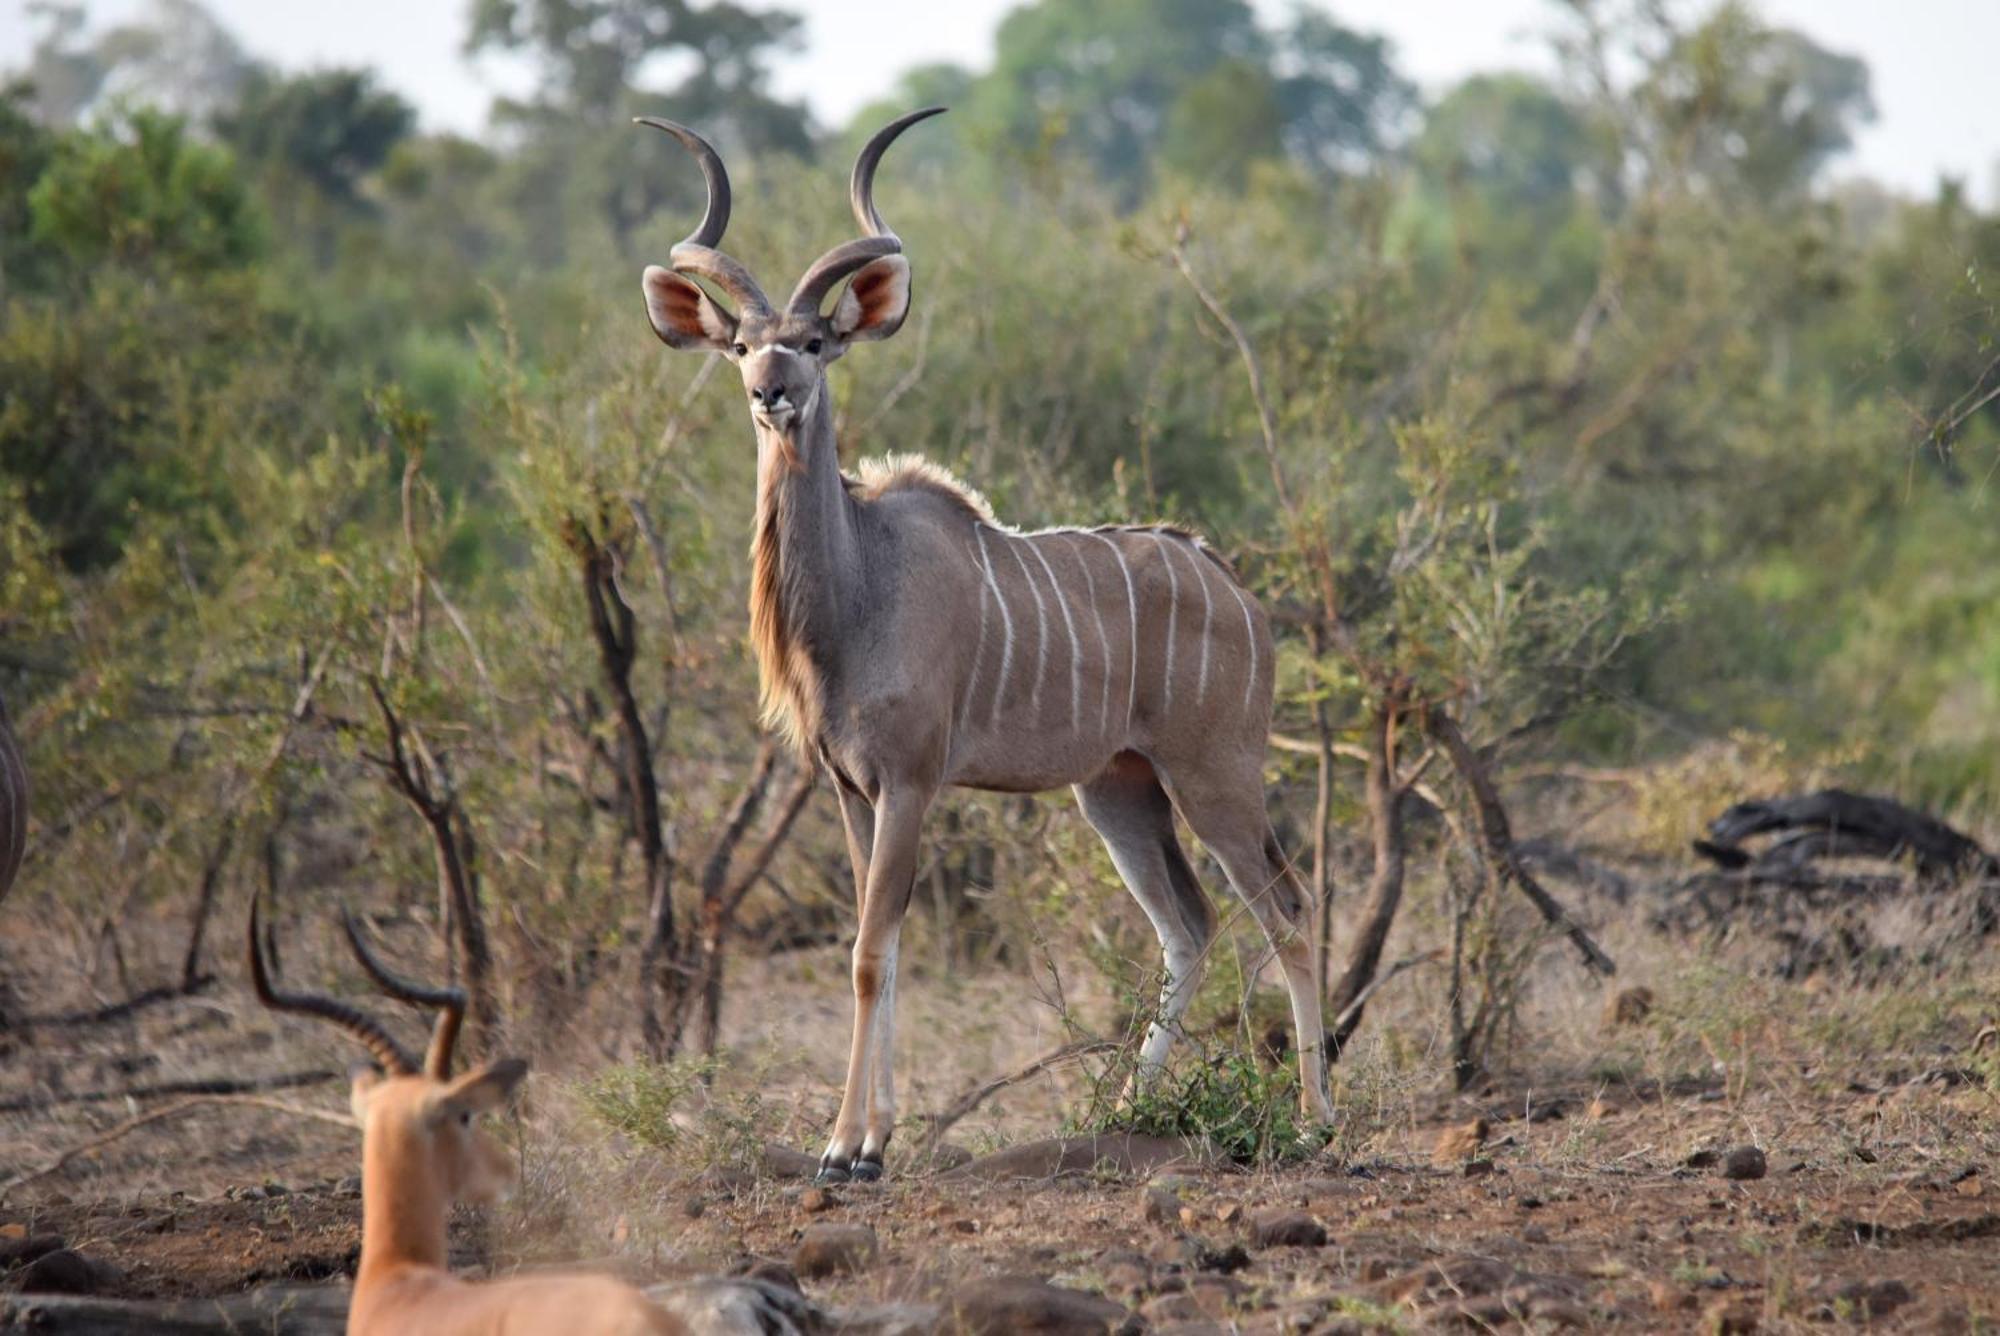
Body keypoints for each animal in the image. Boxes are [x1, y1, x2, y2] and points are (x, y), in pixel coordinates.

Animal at [632, 109, 1336, 1184]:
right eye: (740, 345)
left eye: (815, 341)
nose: (770, 395)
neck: (860, 591)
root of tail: (1238, 591)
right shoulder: (850, 788)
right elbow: (882, 942)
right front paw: (874, 1138)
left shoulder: (911, 780)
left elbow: (868, 952)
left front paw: (846, 1147)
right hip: (1117, 791)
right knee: (1189, 926)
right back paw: (1123, 1112)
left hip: (1215, 777)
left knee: (1286, 913)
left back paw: (1315, 1123)